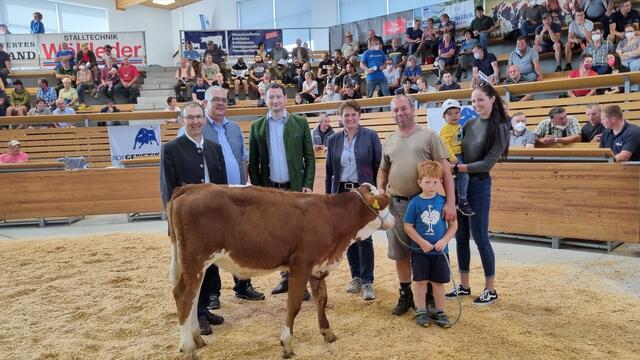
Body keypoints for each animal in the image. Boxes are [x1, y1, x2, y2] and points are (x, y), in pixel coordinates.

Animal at [168, 184, 392, 358]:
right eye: (385, 203)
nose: (394, 220)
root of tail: (191, 188)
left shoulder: (317, 266)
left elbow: (322, 299)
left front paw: (327, 332)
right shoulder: (301, 264)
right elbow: (293, 305)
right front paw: (287, 344)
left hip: (196, 263)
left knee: (194, 296)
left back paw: (197, 340)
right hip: (195, 259)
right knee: (183, 295)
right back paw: (188, 349)